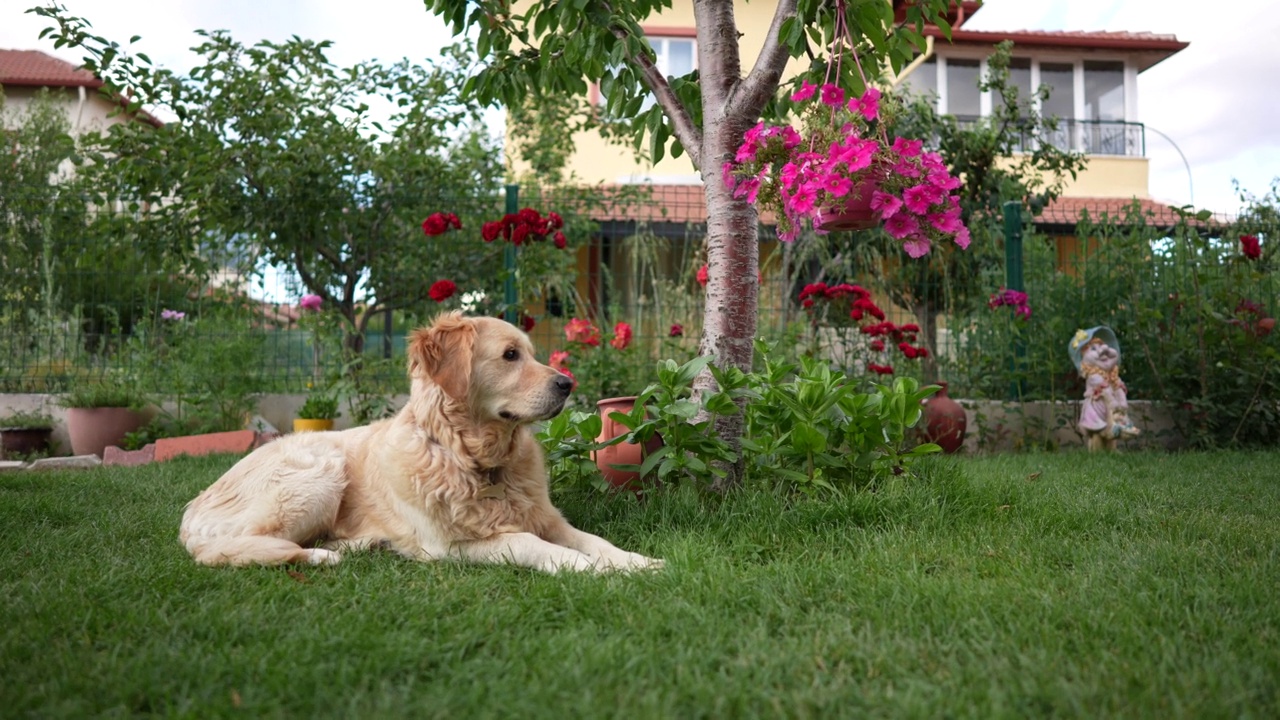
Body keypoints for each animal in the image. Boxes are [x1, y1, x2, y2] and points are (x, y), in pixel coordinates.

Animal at [180, 308, 665, 571]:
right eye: (510, 355)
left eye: (532, 353)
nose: (567, 383)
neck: (474, 460)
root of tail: (190, 511)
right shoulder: (455, 547)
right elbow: (533, 545)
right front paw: (589, 568)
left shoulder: (550, 519)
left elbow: (596, 541)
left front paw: (637, 563)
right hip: (317, 472)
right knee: (227, 550)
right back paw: (321, 557)